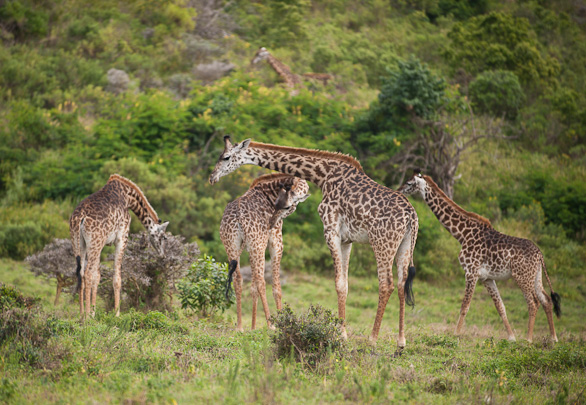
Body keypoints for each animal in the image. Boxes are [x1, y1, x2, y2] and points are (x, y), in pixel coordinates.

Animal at [70, 172, 169, 318]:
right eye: (164, 237)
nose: (163, 255)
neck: (128, 197)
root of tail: (79, 219)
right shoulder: (122, 237)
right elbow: (117, 278)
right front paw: (116, 314)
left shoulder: (103, 243)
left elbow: (97, 276)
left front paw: (94, 312)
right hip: (94, 243)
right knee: (87, 273)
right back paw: (87, 316)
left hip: (79, 242)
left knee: (81, 273)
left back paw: (82, 314)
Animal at [220, 172, 310, 330]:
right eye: (280, 205)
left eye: (286, 206)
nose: (271, 222)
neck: (269, 193)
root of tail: (238, 217)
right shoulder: (276, 240)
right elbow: (276, 286)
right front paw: (281, 321)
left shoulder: (249, 246)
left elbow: (252, 286)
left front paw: (253, 327)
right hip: (257, 244)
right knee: (261, 281)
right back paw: (270, 325)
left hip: (232, 244)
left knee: (238, 279)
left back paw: (240, 327)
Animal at [394, 170, 560, 340]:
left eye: (409, 183)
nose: (398, 190)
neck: (462, 234)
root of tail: (539, 254)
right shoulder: (487, 278)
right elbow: (500, 307)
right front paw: (511, 337)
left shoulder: (471, 272)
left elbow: (465, 306)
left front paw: (456, 334)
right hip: (536, 276)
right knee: (546, 300)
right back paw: (553, 338)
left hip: (522, 276)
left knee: (533, 303)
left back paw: (528, 339)